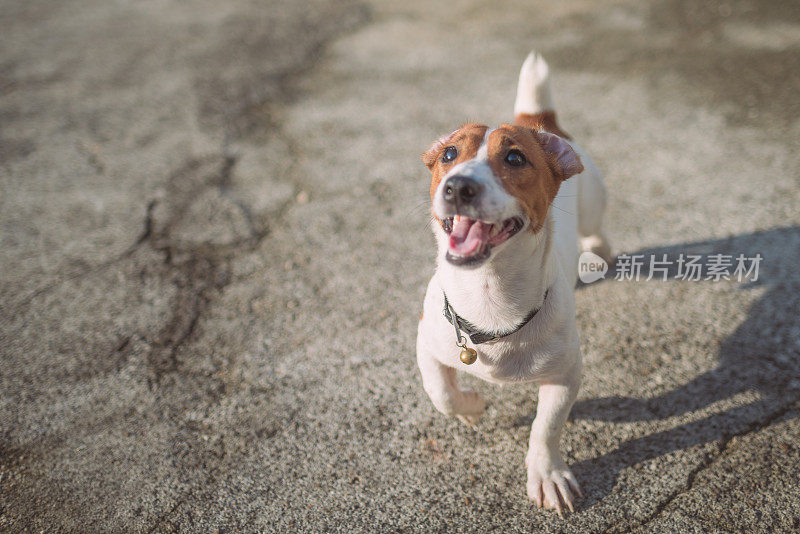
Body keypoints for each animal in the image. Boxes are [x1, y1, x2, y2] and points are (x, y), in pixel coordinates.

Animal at [416, 52, 608, 516]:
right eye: (450, 153)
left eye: (516, 159)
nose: (458, 186)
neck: (490, 294)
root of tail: (538, 123)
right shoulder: (426, 343)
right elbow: (440, 392)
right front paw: (471, 407)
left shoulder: (566, 373)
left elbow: (546, 427)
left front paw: (548, 474)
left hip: (594, 203)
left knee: (597, 229)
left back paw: (601, 251)